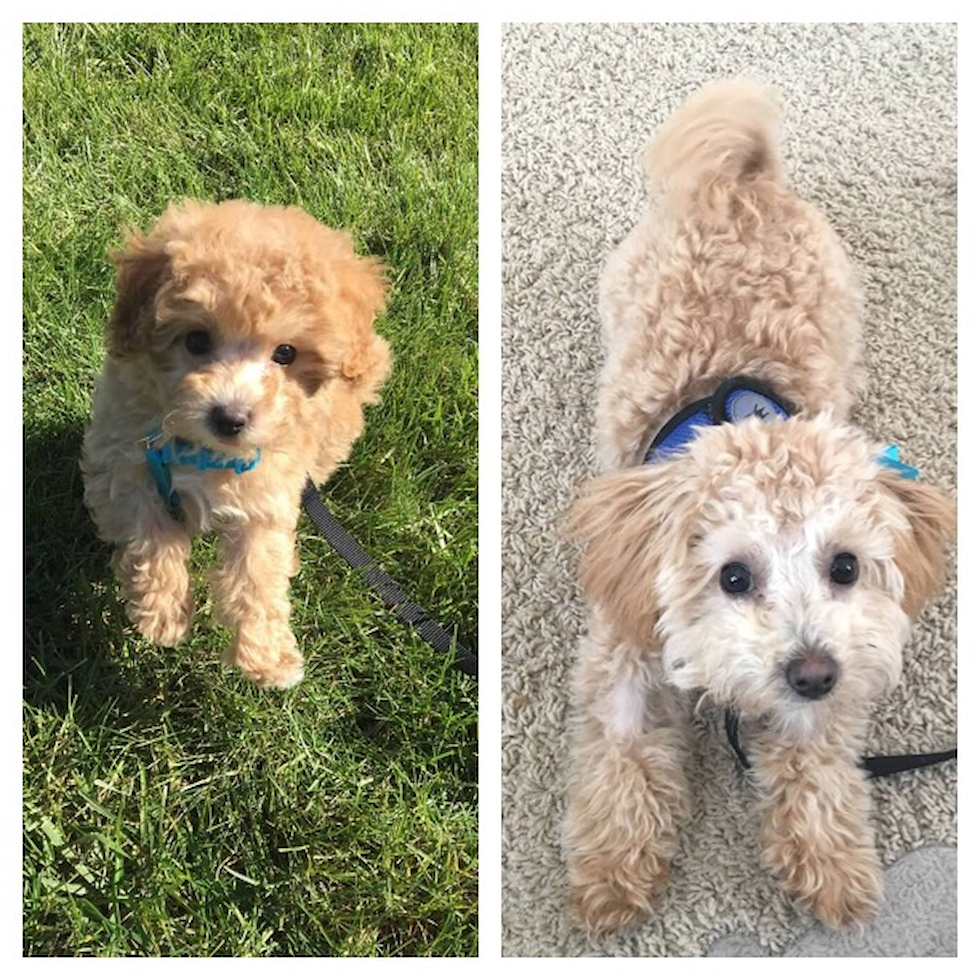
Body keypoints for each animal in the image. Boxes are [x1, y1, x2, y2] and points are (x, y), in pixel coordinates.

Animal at [81, 199, 390, 688]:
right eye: (196, 340)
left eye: (286, 353)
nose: (229, 418)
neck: (202, 447)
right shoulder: (122, 459)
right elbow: (150, 531)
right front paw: (163, 612)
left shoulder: (268, 494)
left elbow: (258, 571)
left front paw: (268, 657)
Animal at [564, 80, 952, 936]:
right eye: (733, 577)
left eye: (846, 567)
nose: (810, 670)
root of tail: (739, 182)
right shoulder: (627, 645)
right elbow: (622, 761)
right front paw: (613, 875)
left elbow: (818, 769)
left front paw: (832, 866)